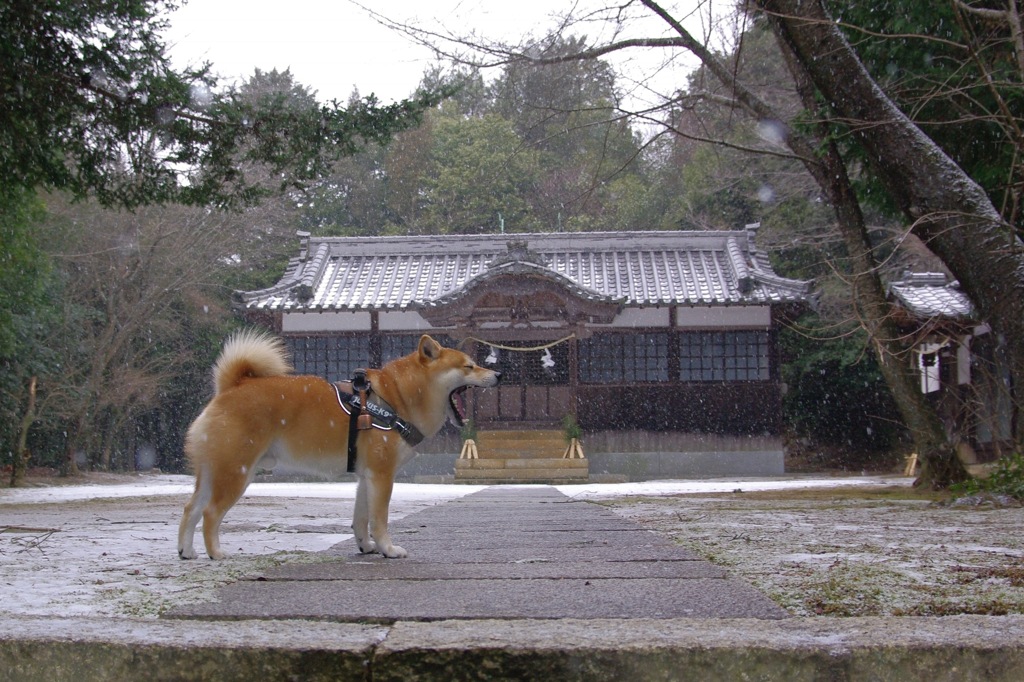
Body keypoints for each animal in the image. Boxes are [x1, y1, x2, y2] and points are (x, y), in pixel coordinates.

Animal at [178, 329, 501, 557]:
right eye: (469, 366)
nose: (499, 373)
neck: (397, 397)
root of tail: (232, 388)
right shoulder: (382, 475)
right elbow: (379, 519)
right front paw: (388, 549)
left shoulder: (367, 476)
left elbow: (361, 518)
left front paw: (367, 547)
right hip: (237, 473)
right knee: (209, 513)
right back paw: (216, 553)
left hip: (212, 472)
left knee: (191, 508)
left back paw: (187, 551)